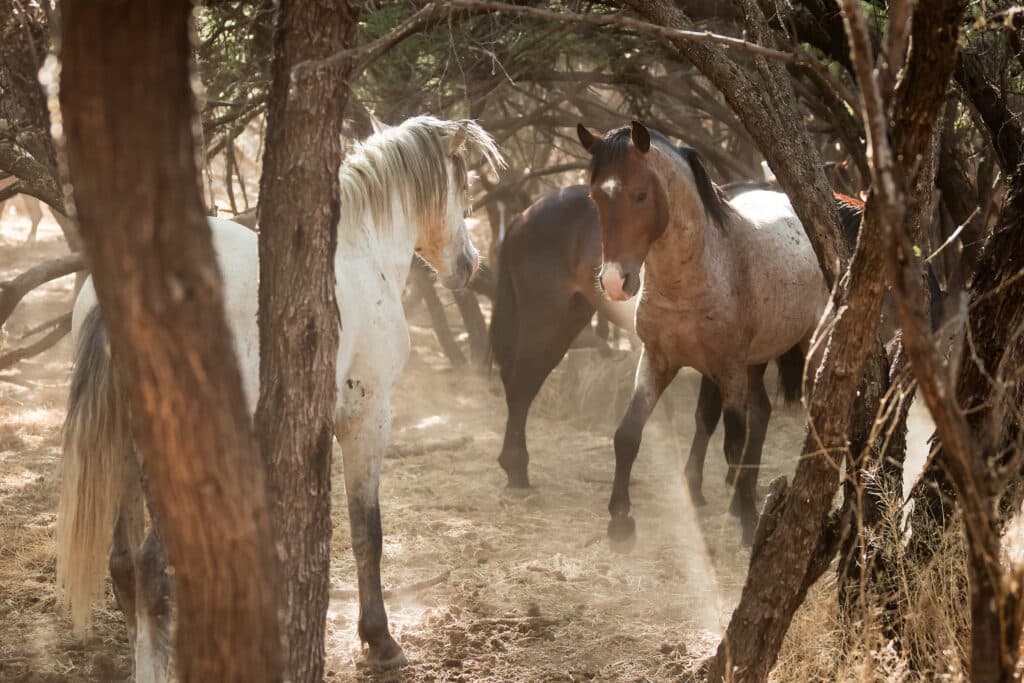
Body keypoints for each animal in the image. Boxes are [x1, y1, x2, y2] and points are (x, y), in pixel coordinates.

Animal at [56, 114, 503, 679]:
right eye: (462, 182)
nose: (469, 264)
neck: (358, 252)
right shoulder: (367, 417)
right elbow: (368, 533)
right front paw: (380, 641)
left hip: (123, 454)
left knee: (124, 567)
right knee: (154, 572)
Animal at [581, 122, 827, 548]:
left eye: (640, 195)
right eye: (596, 196)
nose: (614, 282)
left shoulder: (728, 368)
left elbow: (732, 443)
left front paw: (749, 525)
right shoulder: (657, 361)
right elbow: (627, 435)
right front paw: (620, 519)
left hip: (805, 346)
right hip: (754, 363)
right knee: (761, 414)